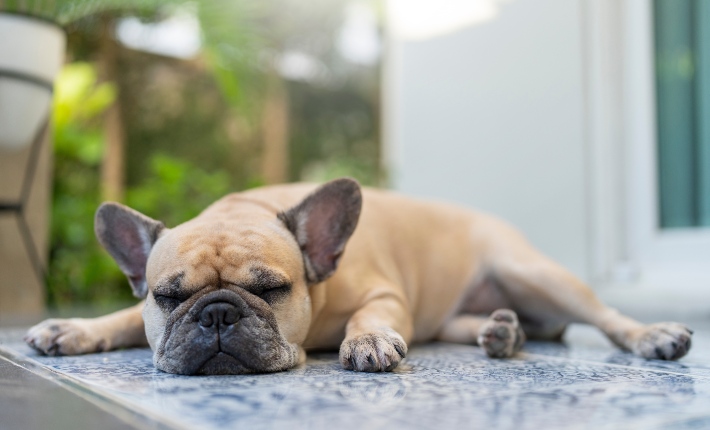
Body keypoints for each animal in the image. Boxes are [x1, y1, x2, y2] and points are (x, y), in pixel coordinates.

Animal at [23, 178, 696, 372]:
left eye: (271, 290)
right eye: (167, 298)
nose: (217, 312)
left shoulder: (382, 292)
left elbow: (371, 315)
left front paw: (367, 340)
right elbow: (120, 318)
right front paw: (74, 328)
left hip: (530, 270)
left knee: (605, 316)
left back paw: (653, 334)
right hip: (460, 313)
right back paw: (502, 332)